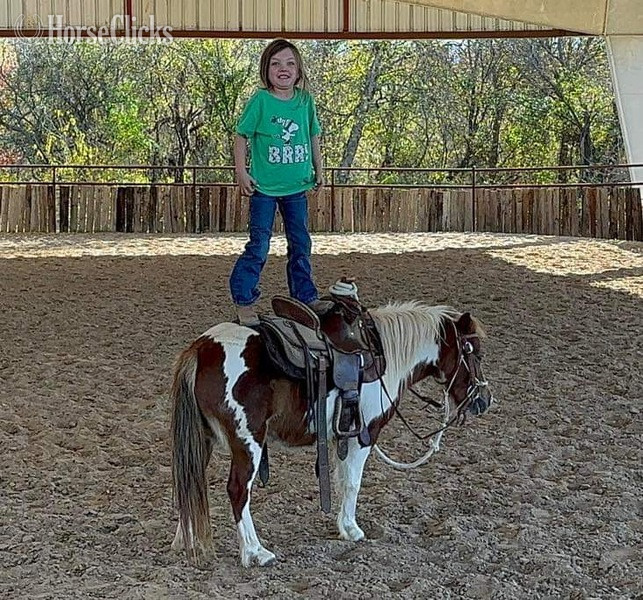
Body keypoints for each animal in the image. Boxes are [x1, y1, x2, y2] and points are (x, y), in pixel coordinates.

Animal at [170, 300, 493, 567]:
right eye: (473, 352)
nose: (484, 400)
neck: (382, 356)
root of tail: (201, 350)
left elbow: (341, 481)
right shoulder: (364, 435)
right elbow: (352, 483)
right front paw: (351, 529)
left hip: (203, 441)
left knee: (191, 481)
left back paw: (187, 540)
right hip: (248, 443)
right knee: (237, 490)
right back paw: (255, 552)